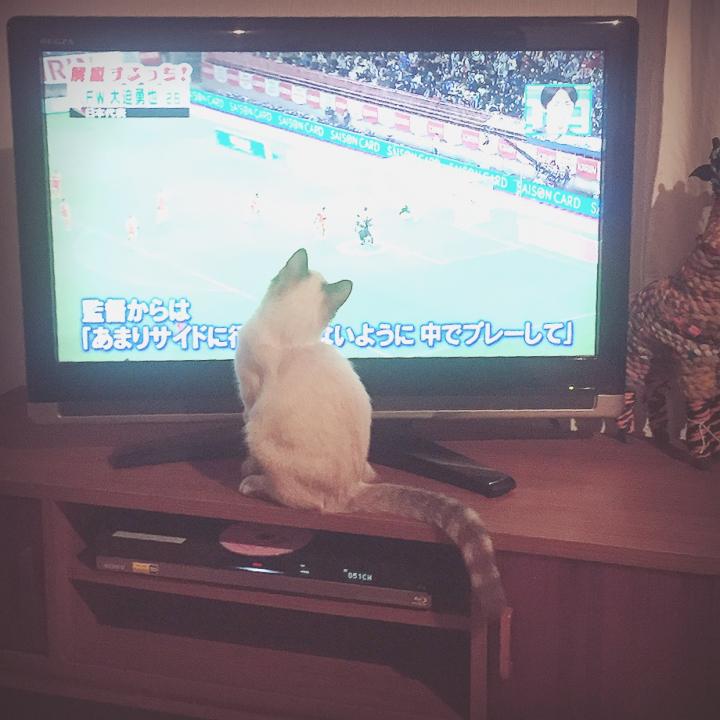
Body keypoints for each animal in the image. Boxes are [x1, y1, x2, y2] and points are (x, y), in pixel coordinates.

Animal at [235, 248, 506, 618]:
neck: (295, 337)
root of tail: (353, 488)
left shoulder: (249, 400)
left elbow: (246, 439)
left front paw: (246, 468)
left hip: (262, 437)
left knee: (303, 503)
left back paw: (253, 483)